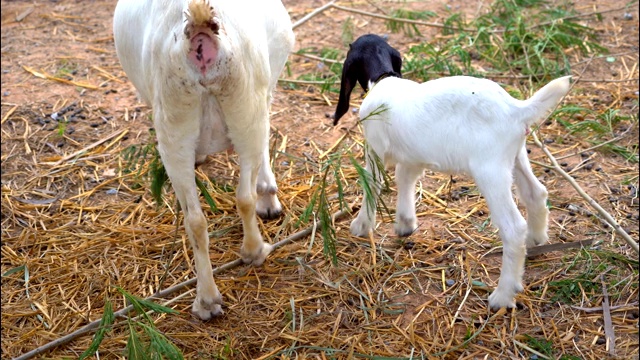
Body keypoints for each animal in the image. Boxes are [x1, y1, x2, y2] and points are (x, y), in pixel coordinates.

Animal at [336, 34, 568, 310]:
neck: (384, 79)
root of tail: (516, 109)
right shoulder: (414, 154)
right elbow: (405, 178)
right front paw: (405, 224)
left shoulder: (375, 148)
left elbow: (371, 184)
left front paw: (361, 225)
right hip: (516, 156)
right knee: (536, 193)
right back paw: (535, 241)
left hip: (490, 170)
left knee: (512, 228)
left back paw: (502, 295)